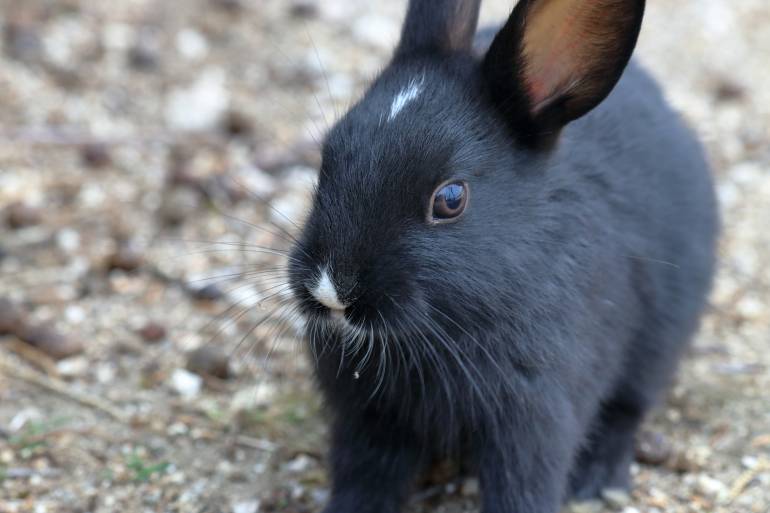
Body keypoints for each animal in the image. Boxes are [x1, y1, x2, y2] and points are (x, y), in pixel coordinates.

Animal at [284, 2, 716, 510]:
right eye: (327, 155)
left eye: (450, 199)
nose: (332, 288)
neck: (438, 332)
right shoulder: (368, 422)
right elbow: (365, 480)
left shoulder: (533, 420)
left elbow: (523, 487)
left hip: (659, 341)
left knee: (630, 407)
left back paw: (598, 479)